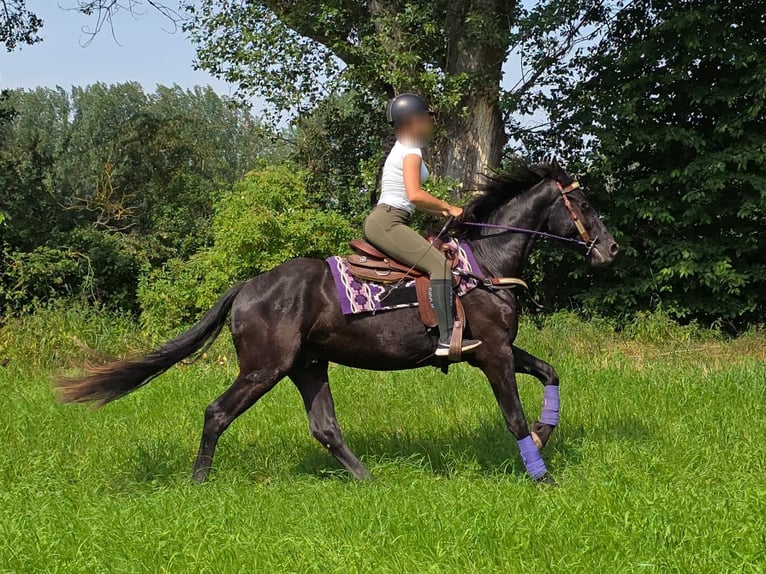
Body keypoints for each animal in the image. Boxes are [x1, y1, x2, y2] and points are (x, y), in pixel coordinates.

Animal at [57, 159, 619, 483]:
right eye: (583, 202)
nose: (611, 250)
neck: (485, 262)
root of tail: (247, 286)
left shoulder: (496, 349)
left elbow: (550, 373)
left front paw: (545, 437)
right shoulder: (494, 355)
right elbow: (514, 417)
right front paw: (542, 476)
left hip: (308, 366)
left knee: (325, 428)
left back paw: (370, 482)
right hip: (265, 368)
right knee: (217, 413)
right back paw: (199, 484)